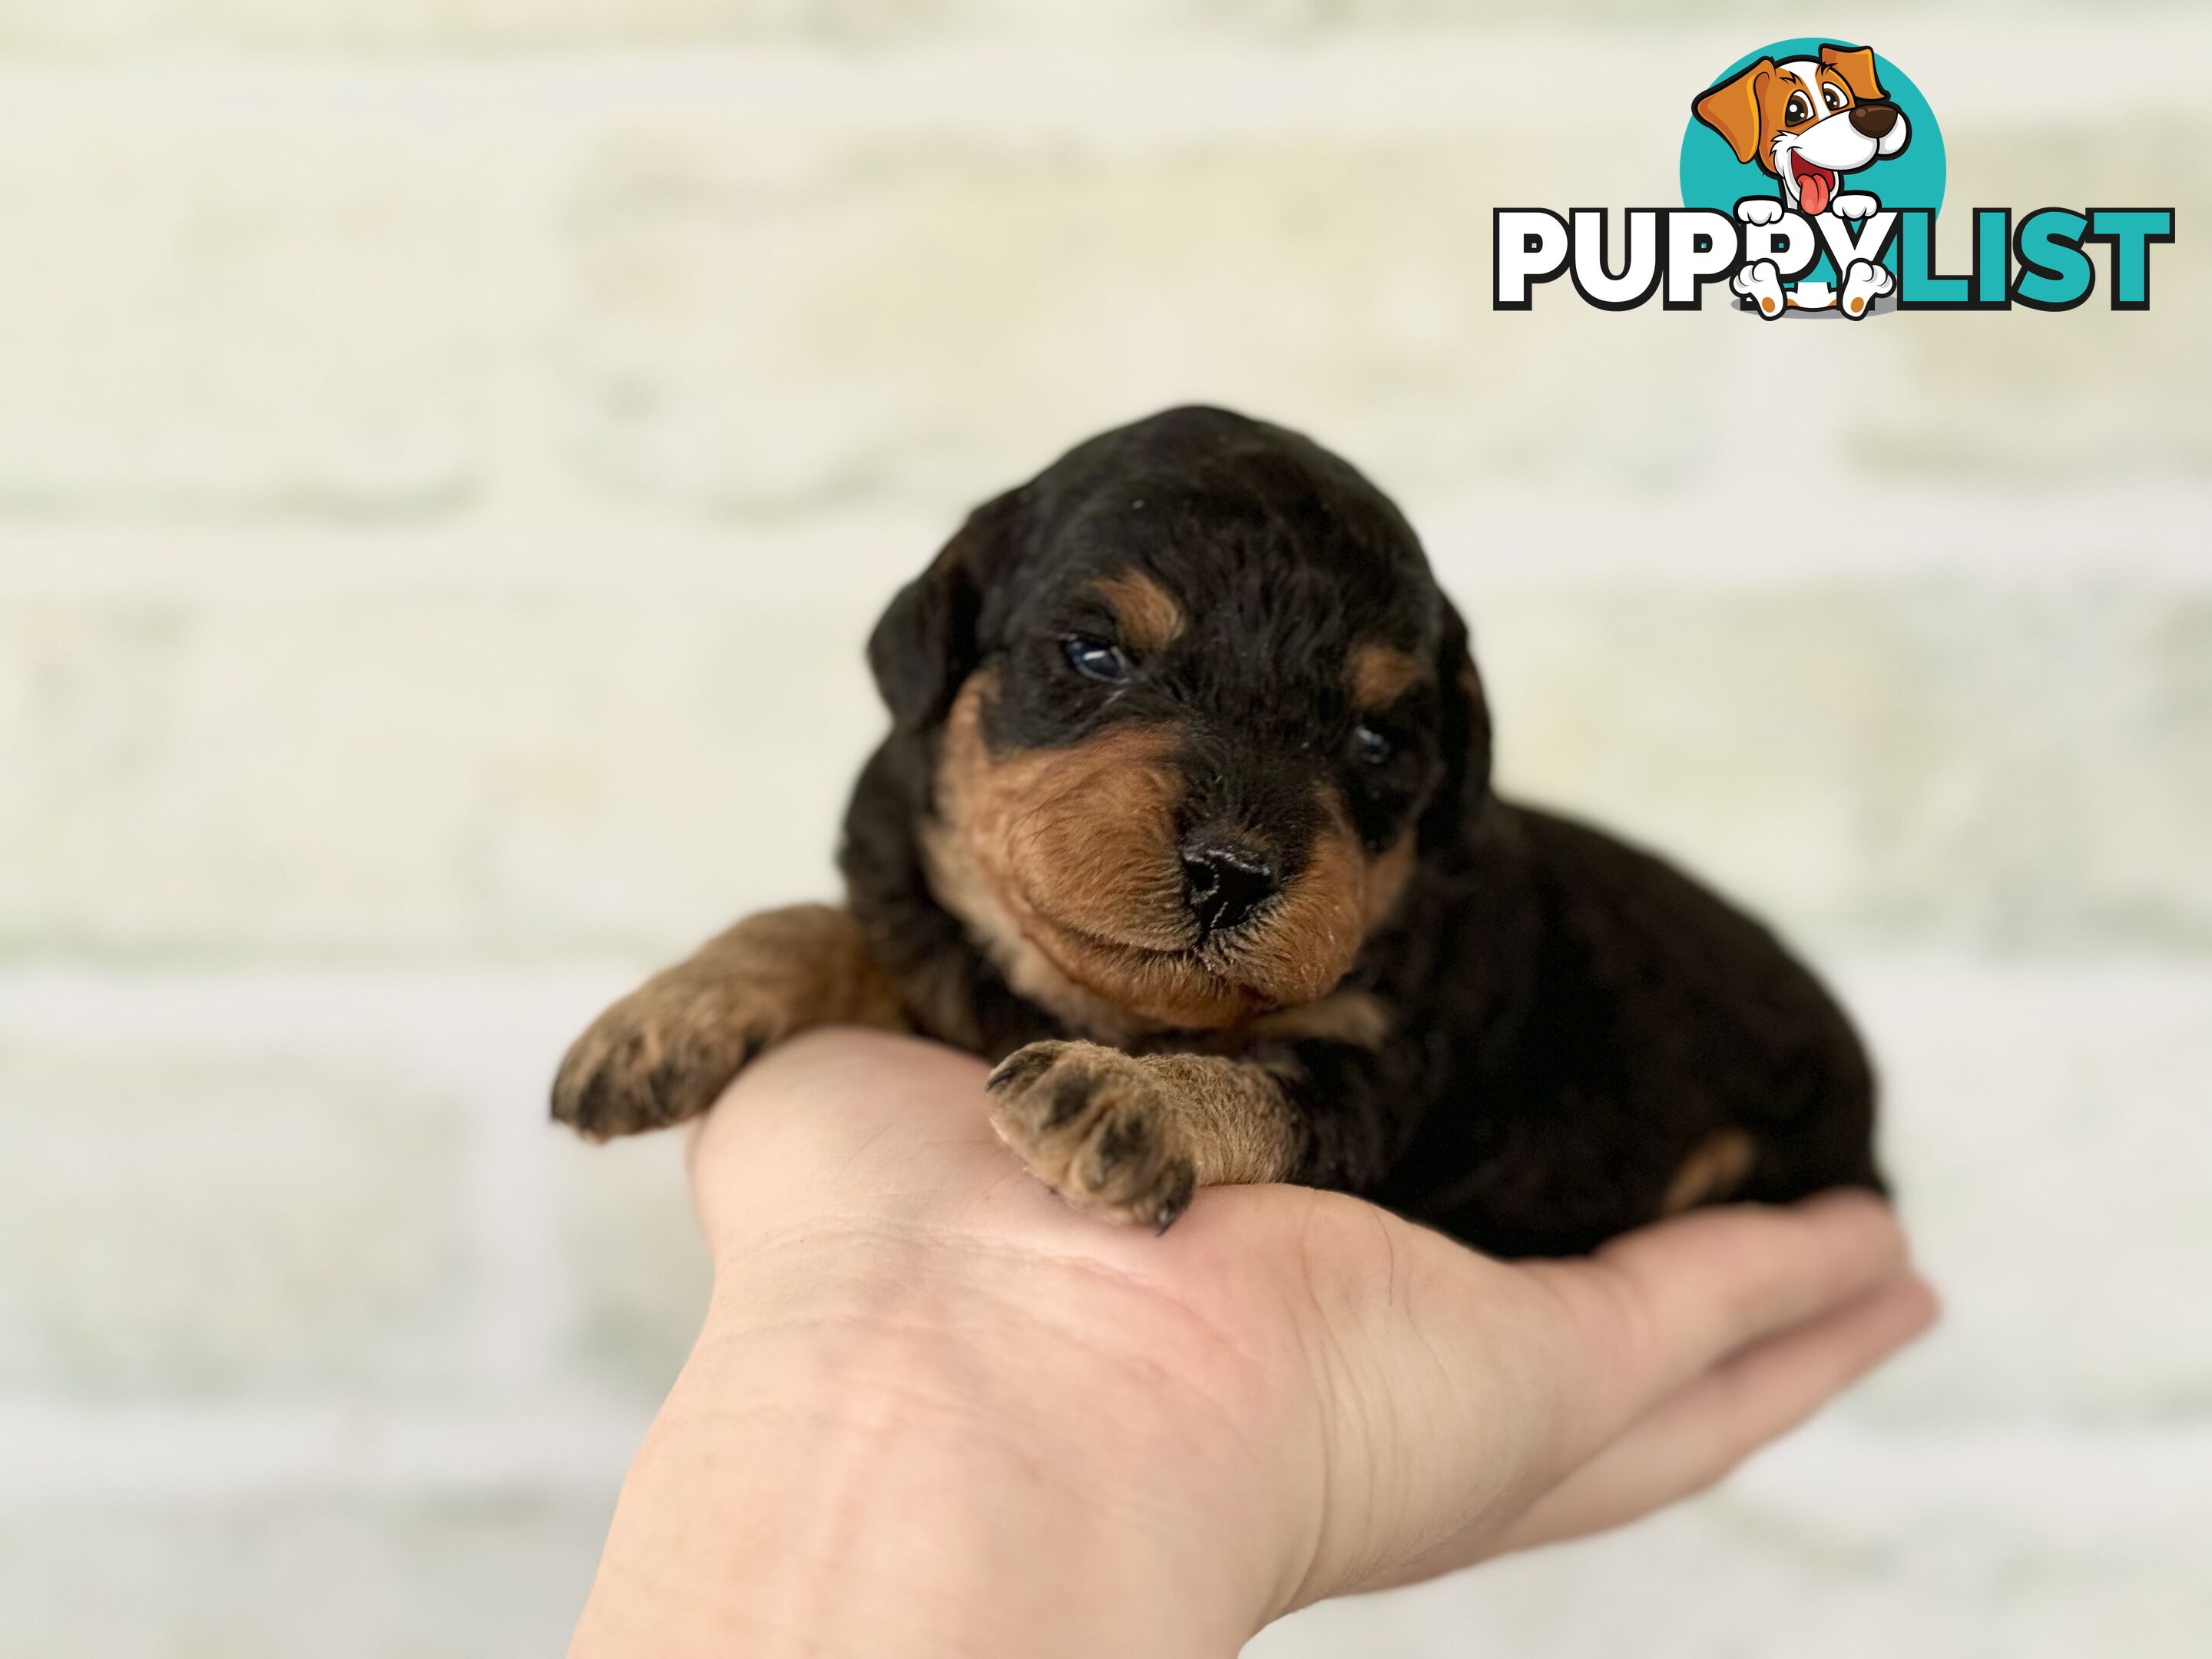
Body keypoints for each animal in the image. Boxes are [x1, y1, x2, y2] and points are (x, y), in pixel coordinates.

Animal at [557, 406, 1884, 1256]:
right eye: (1096, 654)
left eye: (1379, 740)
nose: (1234, 873)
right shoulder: (930, 937)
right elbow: (828, 923)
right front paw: (662, 1015)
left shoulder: (1377, 1070)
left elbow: (1258, 1086)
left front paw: (1121, 1100)